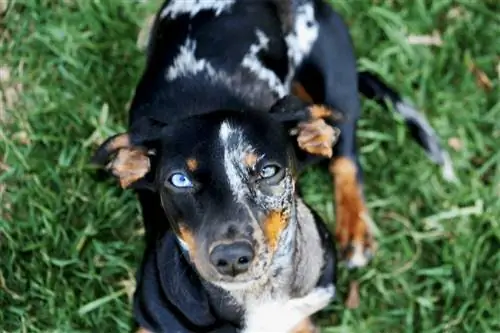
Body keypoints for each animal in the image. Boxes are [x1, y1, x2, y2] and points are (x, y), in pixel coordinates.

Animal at [92, 0, 456, 330]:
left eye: (269, 171)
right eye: (179, 179)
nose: (231, 258)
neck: (257, 297)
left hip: (335, 85)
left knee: (345, 158)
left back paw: (355, 231)